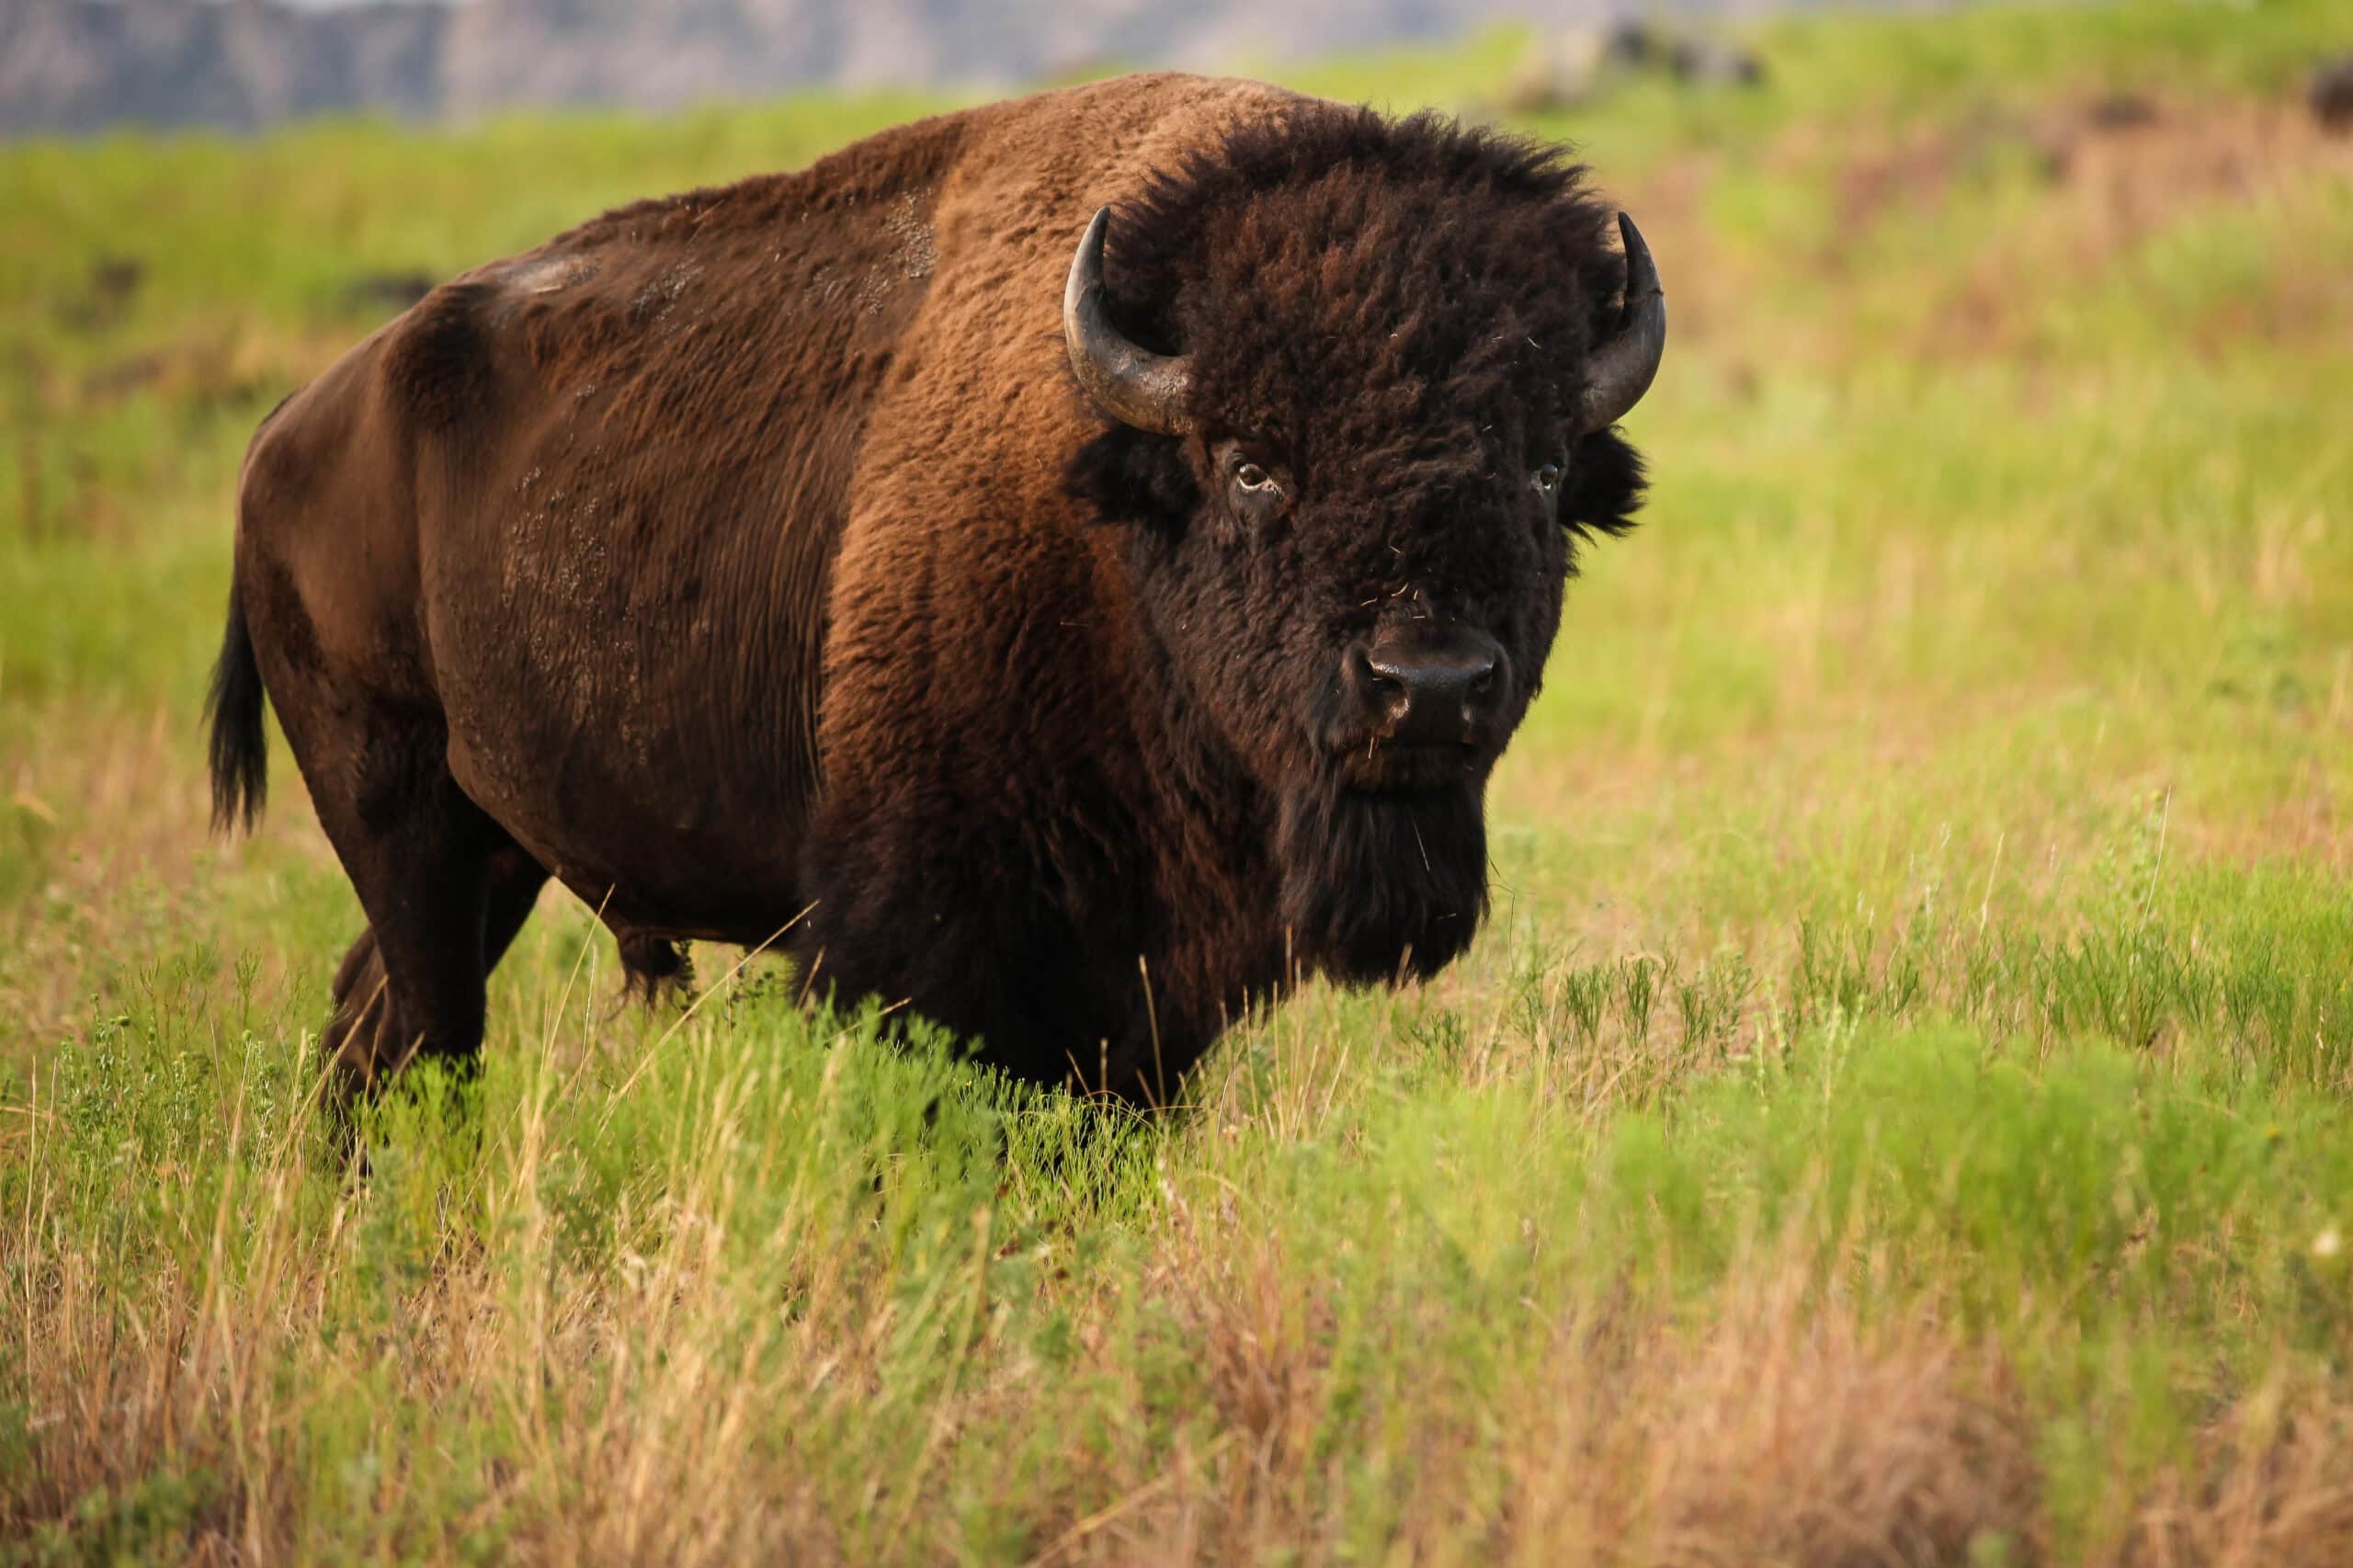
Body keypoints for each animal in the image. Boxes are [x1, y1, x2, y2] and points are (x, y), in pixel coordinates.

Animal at [206, 73, 1664, 1105]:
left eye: (1544, 465)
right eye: (1253, 462)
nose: (1428, 684)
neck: (1112, 515)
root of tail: (289, 427)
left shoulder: (1134, 996)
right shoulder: (914, 938)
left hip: (490, 845)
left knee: (370, 1031)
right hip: (399, 816)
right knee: (425, 1033)